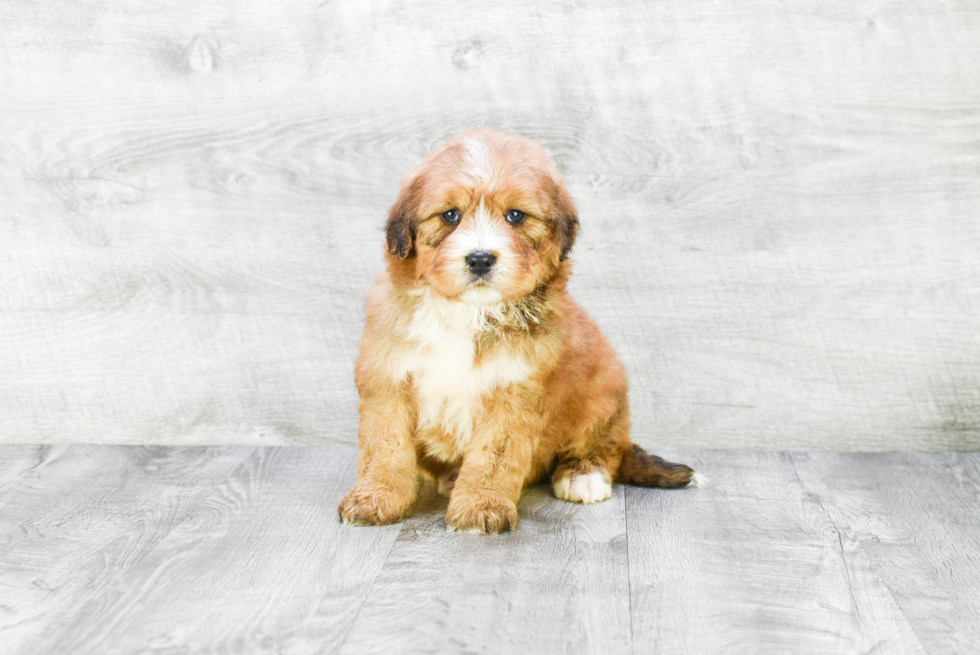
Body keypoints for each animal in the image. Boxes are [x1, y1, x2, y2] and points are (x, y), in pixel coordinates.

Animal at [338, 131, 704, 536]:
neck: (469, 311)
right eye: (450, 215)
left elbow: (494, 456)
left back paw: (583, 473)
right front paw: (376, 496)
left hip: (603, 396)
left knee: (606, 448)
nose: (480, 258)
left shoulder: (515, 389)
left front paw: (481, 505)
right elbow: (386, 445)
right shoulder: (388, 375)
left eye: (516, 215)